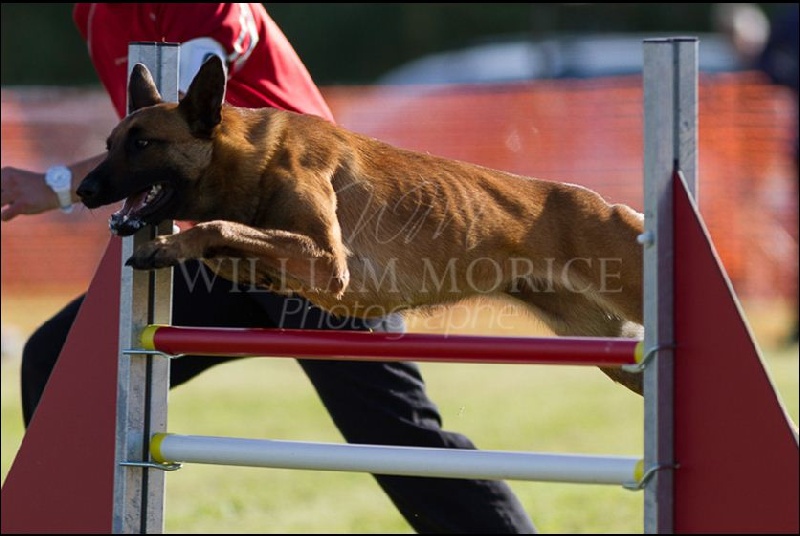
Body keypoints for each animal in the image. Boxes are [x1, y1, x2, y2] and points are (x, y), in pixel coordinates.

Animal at [77, 56, 645, 395]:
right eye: (110, 144)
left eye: (143, 143)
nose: (83, 190)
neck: (250, 159)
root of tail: (617, 207)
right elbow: (232, 243)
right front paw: (177, 245)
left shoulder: (328, 262)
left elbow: (217, 226)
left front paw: (170, 245)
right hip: (616, 353)